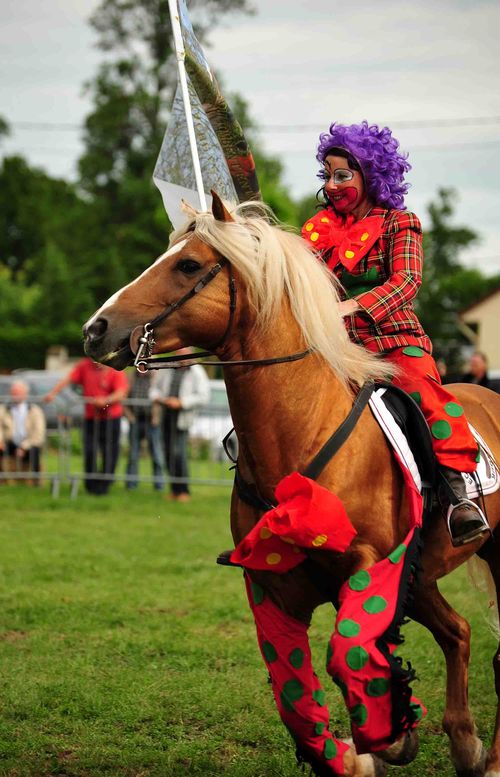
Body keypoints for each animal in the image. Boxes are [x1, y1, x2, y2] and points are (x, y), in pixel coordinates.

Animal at [84, 196, 500, 776]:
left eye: (188, 265)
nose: (95, 330)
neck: (301, 432)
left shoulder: (377, 567)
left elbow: (347, 653)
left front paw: (391, 734)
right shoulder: (271, 587)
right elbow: (295, 701)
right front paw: (362, 751)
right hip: (423, 581)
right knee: (458, 631)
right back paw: (465, 743)